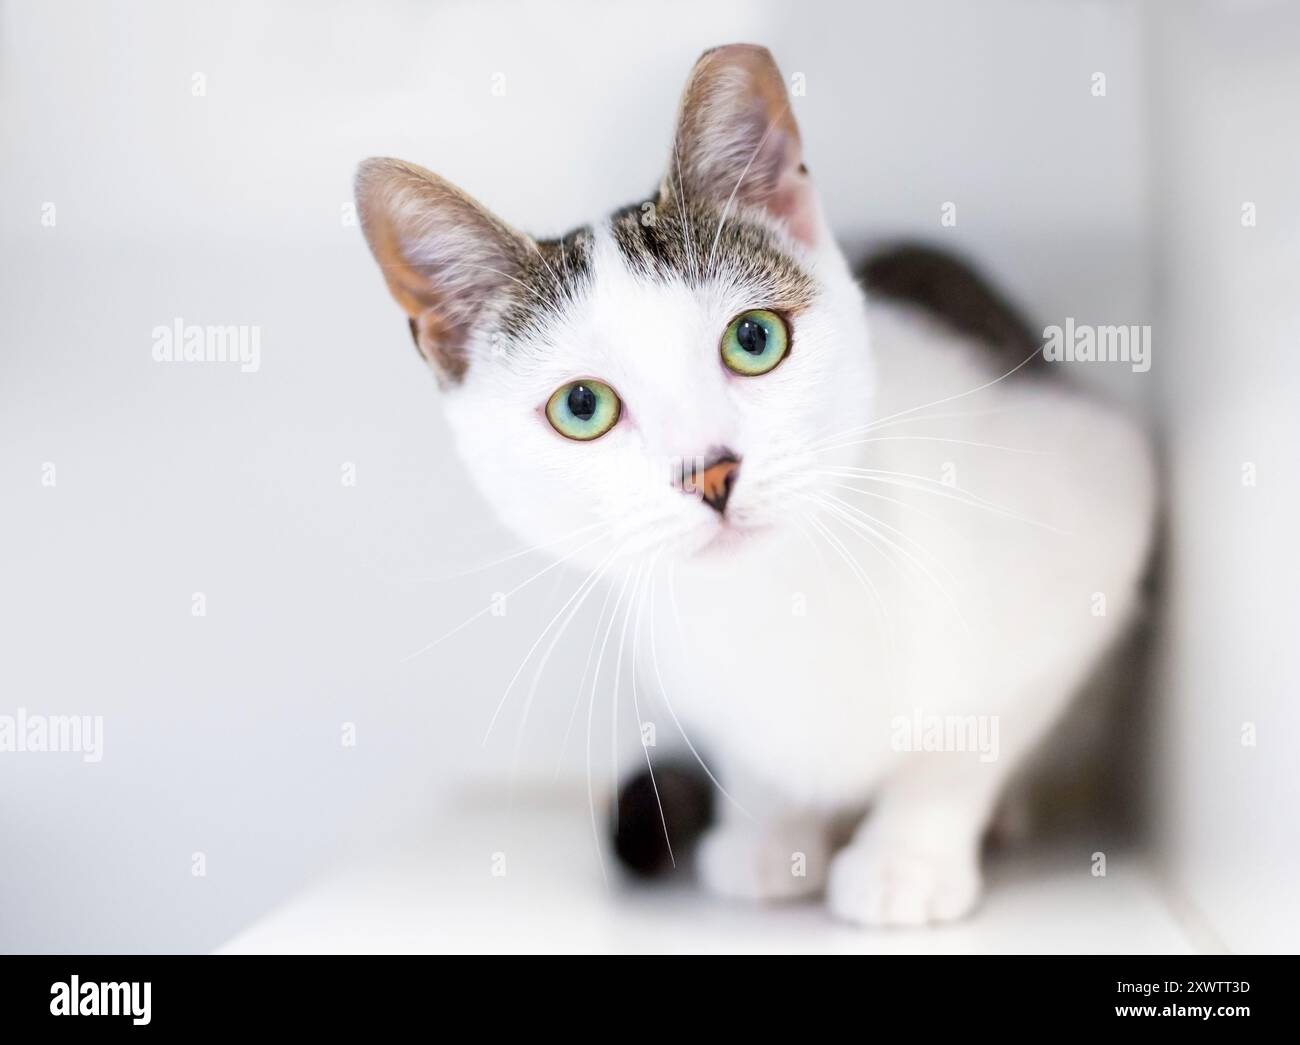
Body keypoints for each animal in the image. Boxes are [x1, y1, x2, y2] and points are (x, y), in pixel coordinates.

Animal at [351, 42, 1154, 920]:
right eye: (582, 406)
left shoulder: (1099, 508)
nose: (712, 469)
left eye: (755, 338)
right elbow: (750, 758)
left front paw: (906, 855)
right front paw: (771, 832)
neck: (778, 601)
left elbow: (968, 739)